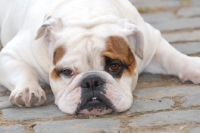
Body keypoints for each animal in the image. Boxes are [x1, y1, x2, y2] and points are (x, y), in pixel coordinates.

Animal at [0, 0, 200, 115]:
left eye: (114, 67)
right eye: (67, 72)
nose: (92, 81)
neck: (87, 15)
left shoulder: (152, 42)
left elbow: (171, 56)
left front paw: (193, 66)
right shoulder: (10, 54)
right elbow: (23, 70)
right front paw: (27, 90)